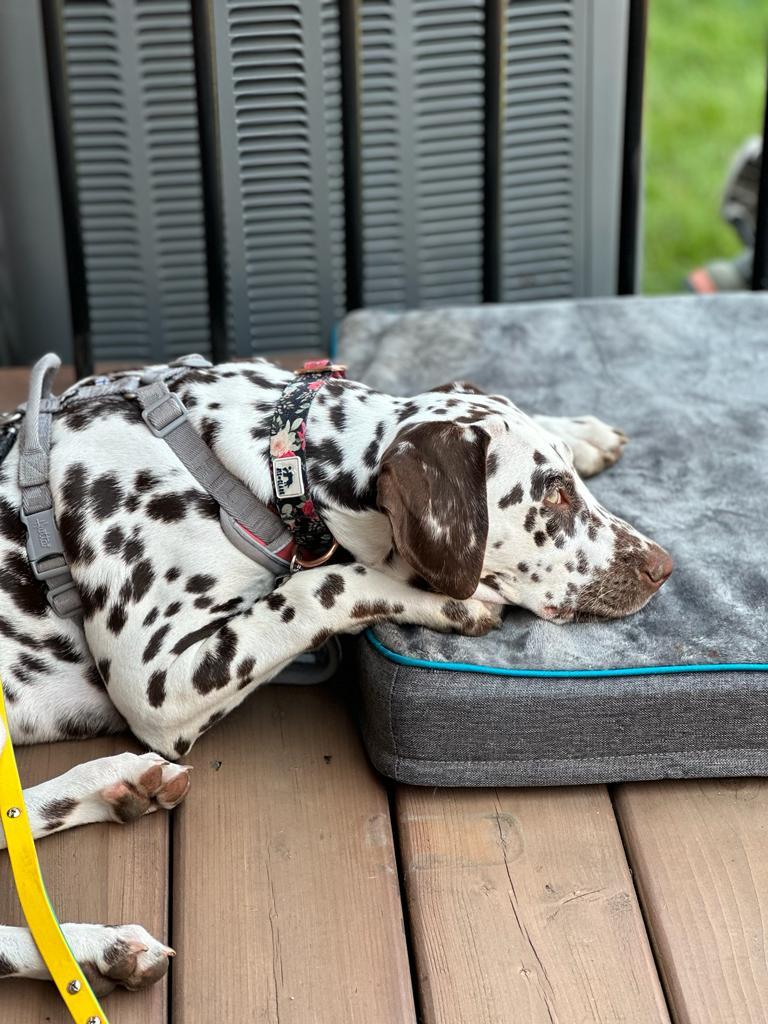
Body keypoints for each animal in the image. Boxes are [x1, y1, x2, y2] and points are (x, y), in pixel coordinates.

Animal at [0, 357, 671, 994]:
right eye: (550, 496)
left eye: (570, 480)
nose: (662, 567)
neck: (261, 458)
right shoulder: (155, 681)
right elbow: (322, 585)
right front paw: (447, 601)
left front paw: (577, 430)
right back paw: (99, 949)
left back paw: (113, 789)